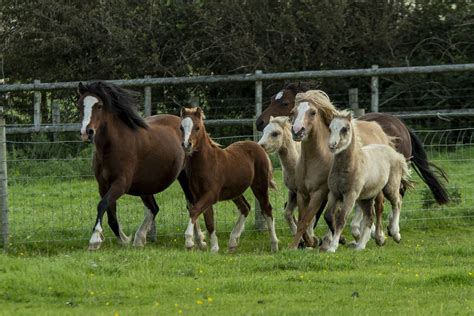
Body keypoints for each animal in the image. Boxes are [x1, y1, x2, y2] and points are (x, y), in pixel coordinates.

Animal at [77, 82, 205, 252]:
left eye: (99, 106)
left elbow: (102, 205)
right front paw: (124, 240)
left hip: (184, 177)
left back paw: (198, 241)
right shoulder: (103, 186)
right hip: (146, 186)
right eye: (80, 105)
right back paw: (140, 238)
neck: (112, 146)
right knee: (154, 208)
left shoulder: (121, 184)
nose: (87, 132)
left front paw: (95, 240)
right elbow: (111, 214)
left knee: (191, 204)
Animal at [181, 107, 278, 253]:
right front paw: (214, 248)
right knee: (245, 207)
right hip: (235, 191)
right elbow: (209, 220)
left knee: (267, 209)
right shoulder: (199, 196)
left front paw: (189, 241)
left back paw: (274, 245)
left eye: (197, 127)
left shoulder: (210, 194)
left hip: (259, 186)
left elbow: (194, 211)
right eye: (181, 127)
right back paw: (233, 241)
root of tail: (259, 147)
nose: (187, 145)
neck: (207, 163)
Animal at [324, 111, 412, 252]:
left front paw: (333, 246)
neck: (351, 165)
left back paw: (395, 234)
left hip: (389, 187)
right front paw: (340, 240)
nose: (332, 145)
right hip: (367, 197)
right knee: (369, 217)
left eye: (345, 128)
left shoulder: (350, 195)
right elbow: (328, 216)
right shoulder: (334, 194)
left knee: (397, 202)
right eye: (330, 128)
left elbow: (341, 219)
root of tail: (396, 154)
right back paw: (361, 245)